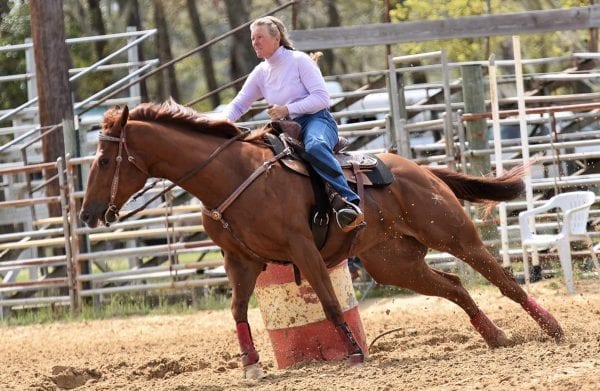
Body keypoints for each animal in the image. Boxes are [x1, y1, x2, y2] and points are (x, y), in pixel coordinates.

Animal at [78, 102, 564, 380]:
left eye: (104, 160)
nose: (86, 213)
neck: (231, 175)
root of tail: (420, 169)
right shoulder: (240, 260)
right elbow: (236, 310)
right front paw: (250, 365)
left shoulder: (303, 248)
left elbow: (330, 304)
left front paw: (354, 353)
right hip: (394, 262)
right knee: (456, 286)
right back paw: (496, 337)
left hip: (452, 233)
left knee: (504, 280)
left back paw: (552, 329)